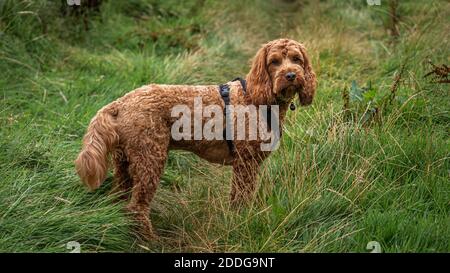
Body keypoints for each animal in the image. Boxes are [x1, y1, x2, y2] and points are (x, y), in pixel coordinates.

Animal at [74, 38, 316, 238]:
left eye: (297, 59)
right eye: (274, 62)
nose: (291, 75)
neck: (258, 99)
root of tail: (120, 103)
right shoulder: (245, 163)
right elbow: (241, 197)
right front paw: (242, 219)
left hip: (124, 162)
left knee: (119, 197)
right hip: (150, 159)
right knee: (137, 207)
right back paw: (149, 240)